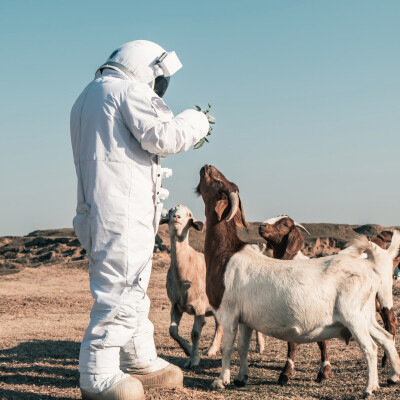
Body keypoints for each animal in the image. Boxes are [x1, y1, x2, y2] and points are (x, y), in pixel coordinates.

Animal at [159, 206, 222, 368]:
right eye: (170, 211)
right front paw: (187, 349)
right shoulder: (176, 304)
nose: (177, 217)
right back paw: (212, 349)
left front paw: (193, 359)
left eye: (189, 214)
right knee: (220, 325)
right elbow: (172, 331)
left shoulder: (199, 306)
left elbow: (195, 333)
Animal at [260, 216, 332, 384]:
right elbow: (291, 343)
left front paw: (324, 372)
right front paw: (285, 373)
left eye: (285, 224)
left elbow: (322, 342)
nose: (262, 225)